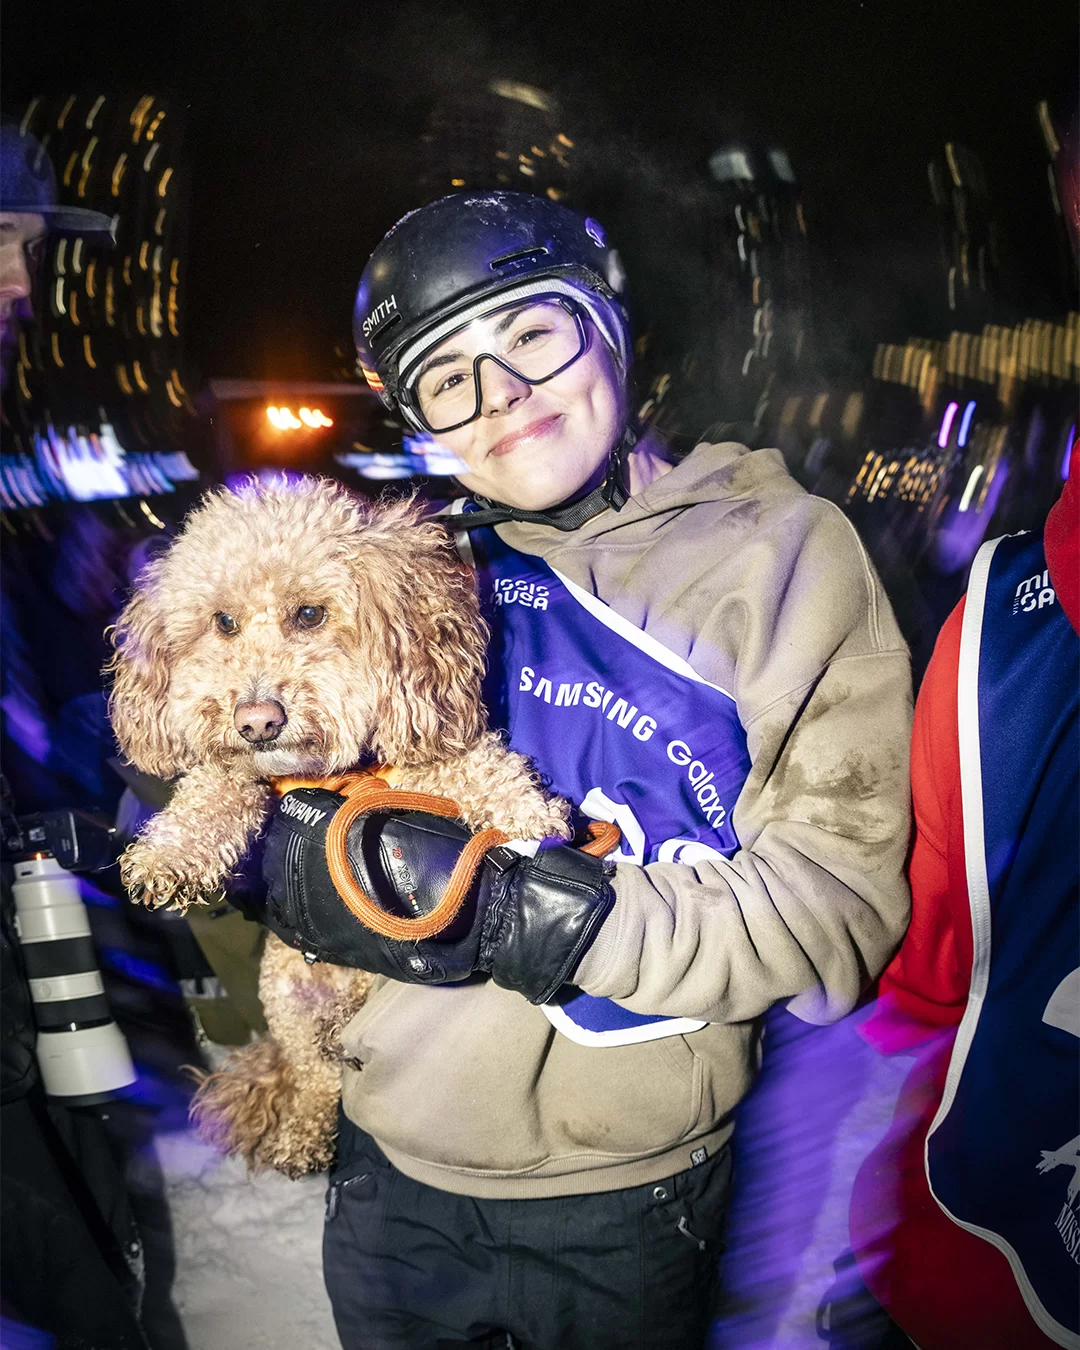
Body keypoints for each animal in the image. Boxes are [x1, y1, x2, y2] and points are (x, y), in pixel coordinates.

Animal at [108, 476, 570, 1175]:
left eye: (309, 615)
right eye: (224, 623)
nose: (257, 719)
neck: (340, 777)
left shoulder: (425, 735)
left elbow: (472, 762)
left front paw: (529, 817)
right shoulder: (242, 774)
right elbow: (215, 784)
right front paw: (172, 852)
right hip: (289, 999)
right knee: (315, 1078)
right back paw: (302, 1136)